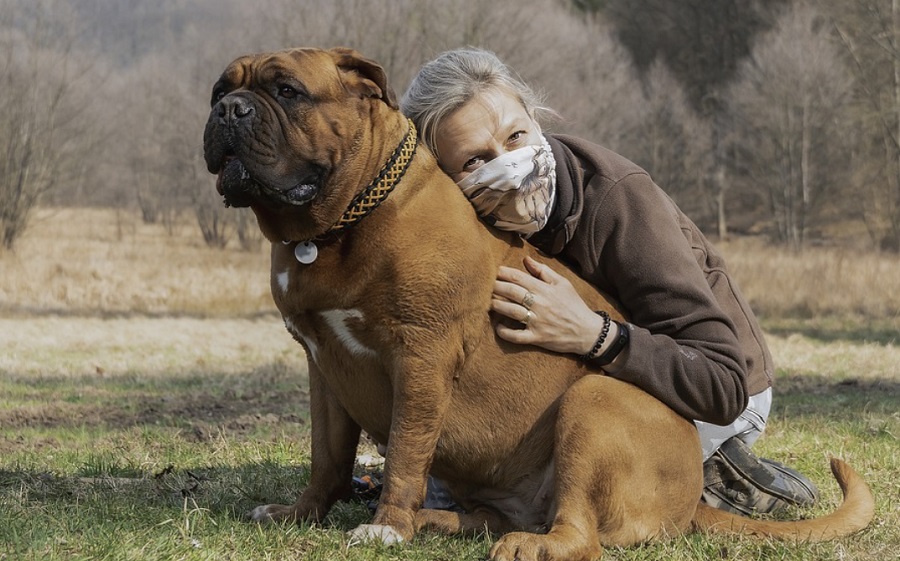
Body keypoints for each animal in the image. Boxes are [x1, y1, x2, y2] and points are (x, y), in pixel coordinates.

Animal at [202, 47, 872, 560]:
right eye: (220, 88)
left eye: (287, 91)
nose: (227, 109)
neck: (335, 227)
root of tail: (689, 503)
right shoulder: (322, 364)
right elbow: (328, 456)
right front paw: (302, 512)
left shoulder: (420, 354)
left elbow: (406, 452)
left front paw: (386, 525)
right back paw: (442, 521)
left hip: (592, 403)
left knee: (581, 536)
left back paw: (515, 540)